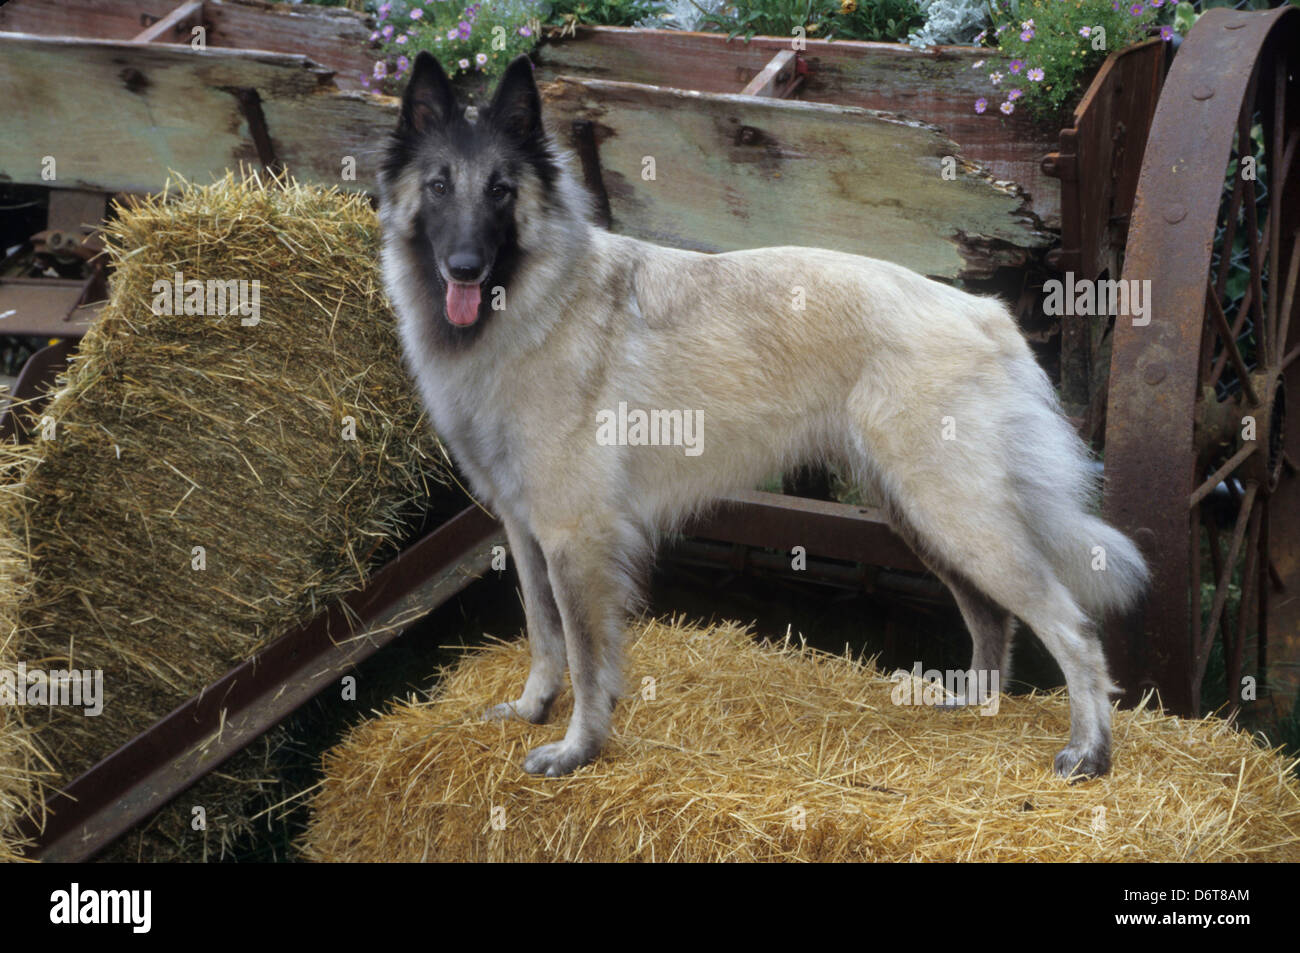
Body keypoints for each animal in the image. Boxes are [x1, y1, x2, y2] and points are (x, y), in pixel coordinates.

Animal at [377, 52, 1149, 774]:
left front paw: (578, 749)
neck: (536, 300)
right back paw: (972, 703)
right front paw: (535, 707)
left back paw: (1090, 751)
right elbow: (544, 634)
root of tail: (984, 310)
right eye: (439, 185)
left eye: (501, 191)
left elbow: (588, 658)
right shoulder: (526, 528)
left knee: (1072, 628)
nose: (466, 267)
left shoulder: (575, 537)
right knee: (992, 616)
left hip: (957, 516)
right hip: (924, 519)